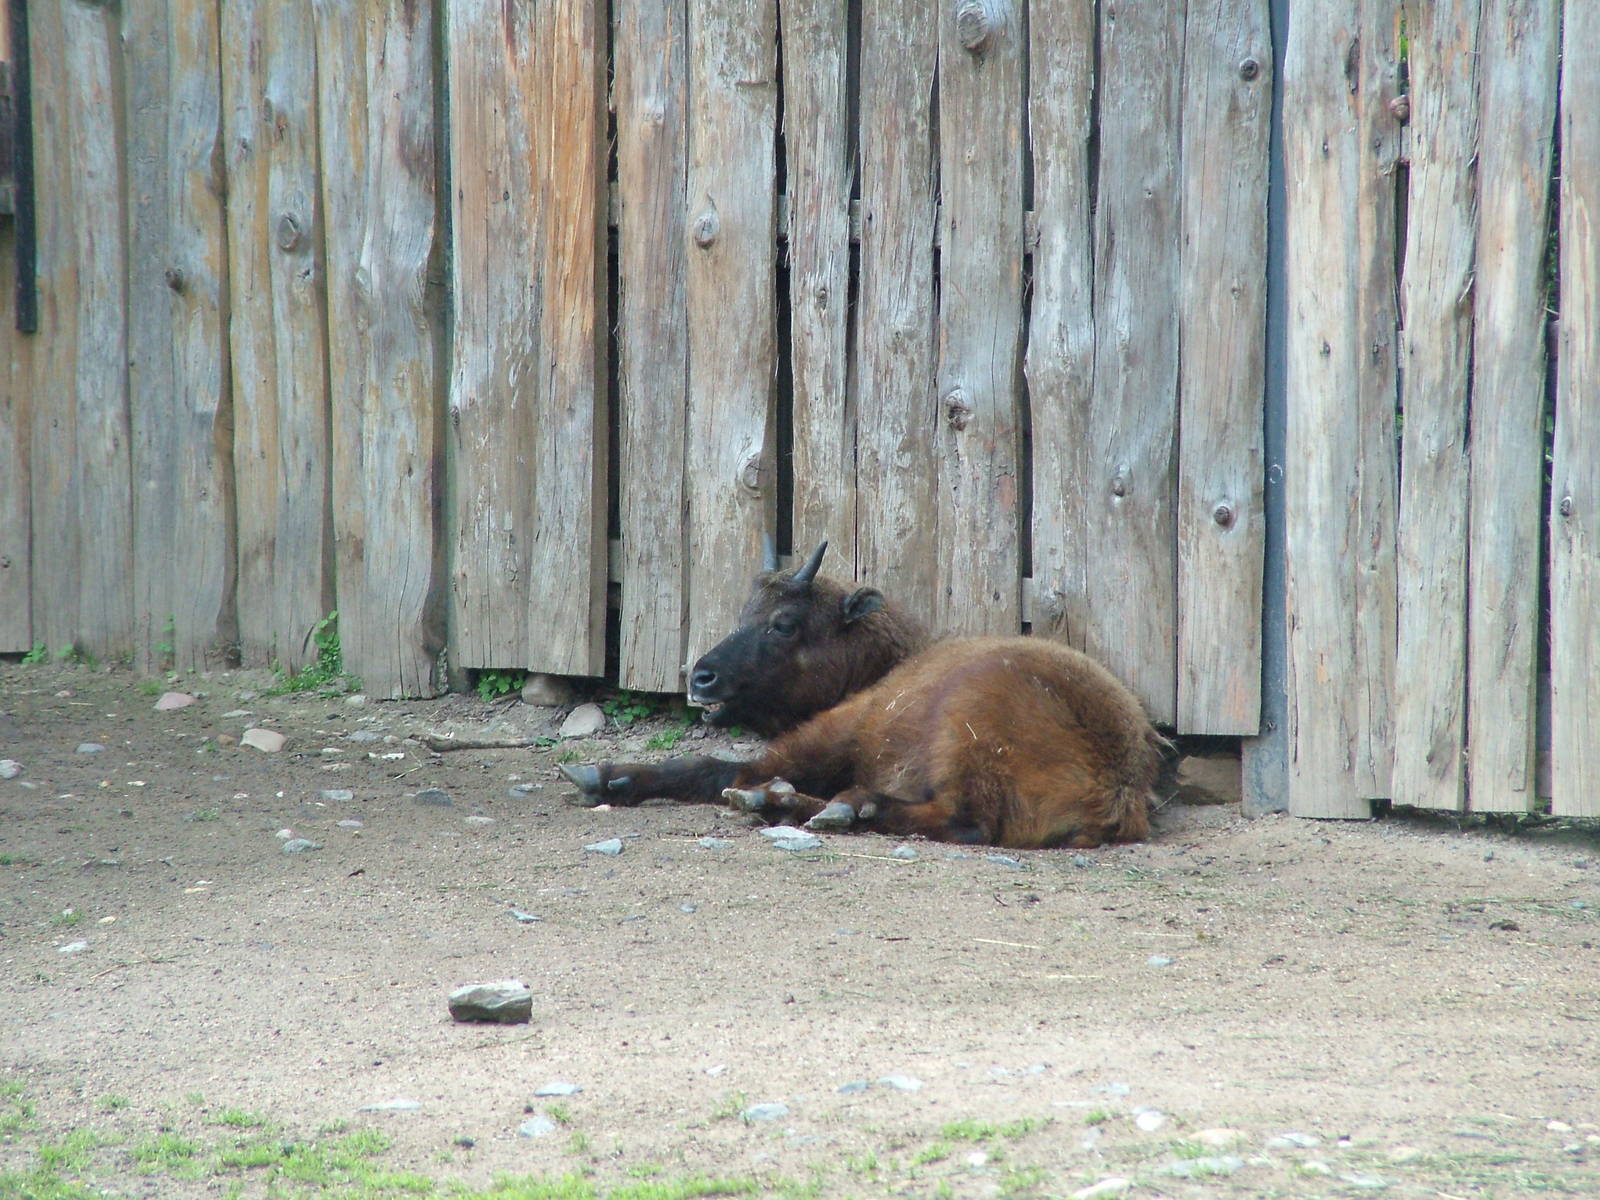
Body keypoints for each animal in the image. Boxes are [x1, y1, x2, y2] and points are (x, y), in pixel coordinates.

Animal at [559, 542, 1175, 849]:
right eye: (744, 615)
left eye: (784, 623)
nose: (701, 677)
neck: (894, 659)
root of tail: (1120, 788)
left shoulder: (838, 730)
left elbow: (725, 769)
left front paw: (607, 775)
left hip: (961, 737)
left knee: (963, 821)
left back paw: (819, 807)